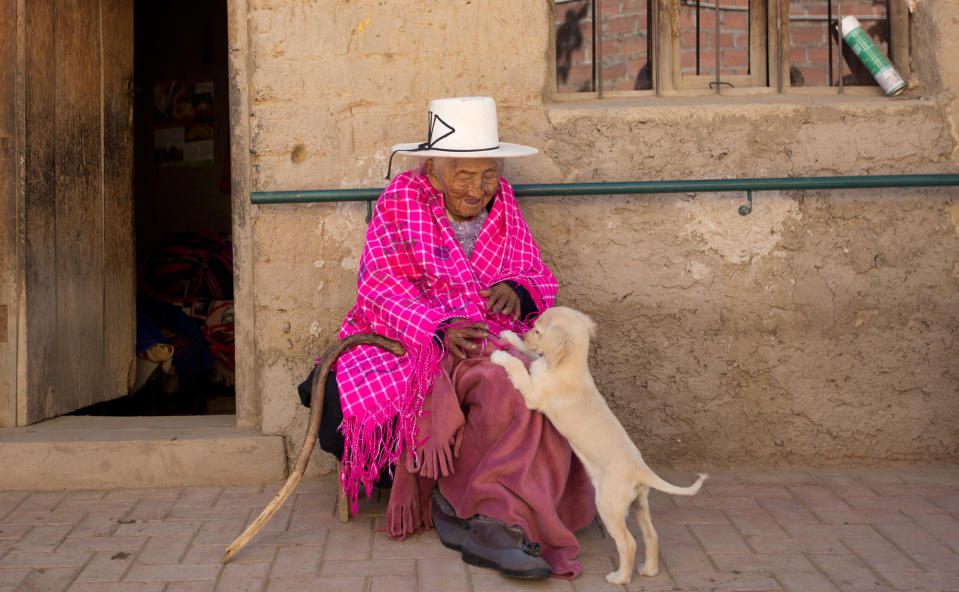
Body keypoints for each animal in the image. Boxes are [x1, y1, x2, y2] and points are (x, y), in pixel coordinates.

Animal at [496, 308, 704, 584]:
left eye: (538, 330)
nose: (526, 333)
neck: (566, 367)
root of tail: (641, 468)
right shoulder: (540, 366)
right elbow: (530, 357)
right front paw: (510, 337)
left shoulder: (533, 394)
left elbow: (519, 365)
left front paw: (500, 355)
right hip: (639, 503)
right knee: (651, 535)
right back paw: (649, 569)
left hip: (608, 505)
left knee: (628, 543)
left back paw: (620, 578)